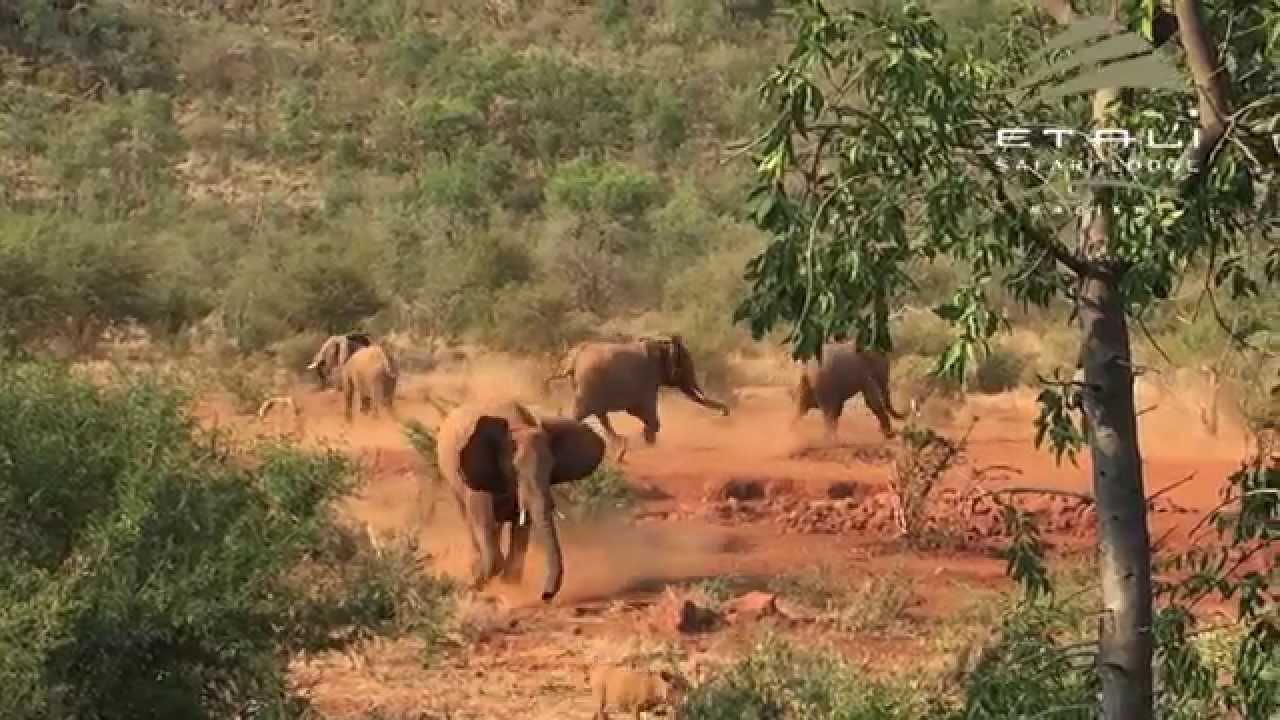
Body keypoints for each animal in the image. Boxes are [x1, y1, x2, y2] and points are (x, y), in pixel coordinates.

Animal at [433, 400, 606, 602]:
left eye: (552, 467)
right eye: (514, 469)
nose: (545, 595)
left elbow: (522, 527)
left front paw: (508, 583)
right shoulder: (477, 474)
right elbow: (483, 522)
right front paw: (483, 580)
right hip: (453, 481)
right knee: (468, 518)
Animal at [545, 335, 730, 460]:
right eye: (686, 365)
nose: (725, 412)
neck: (661, 344)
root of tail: (574, 358)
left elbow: (637, 413)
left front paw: (647, 440)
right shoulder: (647, 380)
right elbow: (644, 412)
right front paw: (648, 439)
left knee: (601, 416)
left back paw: (620, 450)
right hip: (589, 386)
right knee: (581, 415)